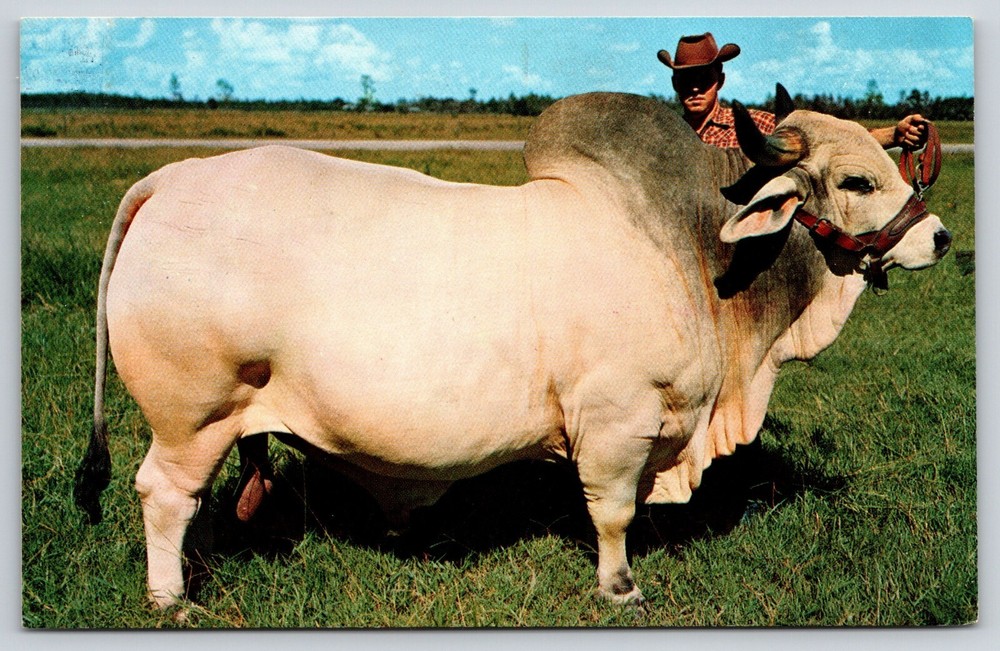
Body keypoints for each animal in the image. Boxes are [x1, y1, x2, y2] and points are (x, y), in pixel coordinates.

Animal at [74, 90, 951, 610]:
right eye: (858, 182)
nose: (940, 236)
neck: (690, 247)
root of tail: (173, 178)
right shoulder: (616, 422)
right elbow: (611, 511)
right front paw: (620, 588)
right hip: (193, 414)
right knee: (163, 494)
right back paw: (171, 599)